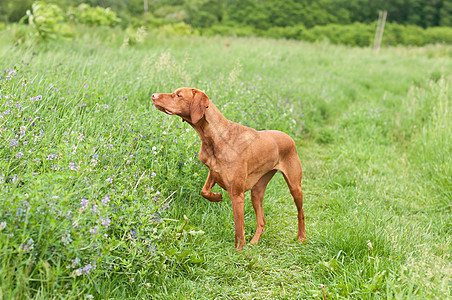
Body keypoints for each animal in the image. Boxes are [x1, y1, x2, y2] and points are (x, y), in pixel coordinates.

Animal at [151, 87, 304, 251]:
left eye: (178, 95)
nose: (153, 95)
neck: (216, 137)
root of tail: (289, 137)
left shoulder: (237, 195)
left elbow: (239, 230)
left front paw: (238, 252)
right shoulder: (214, 172)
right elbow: (204, 191)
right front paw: (217, 196)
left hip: (295, 187)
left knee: (300, 213)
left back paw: (301, 238)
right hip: (257, 192)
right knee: (262, 220)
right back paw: (254, 242)